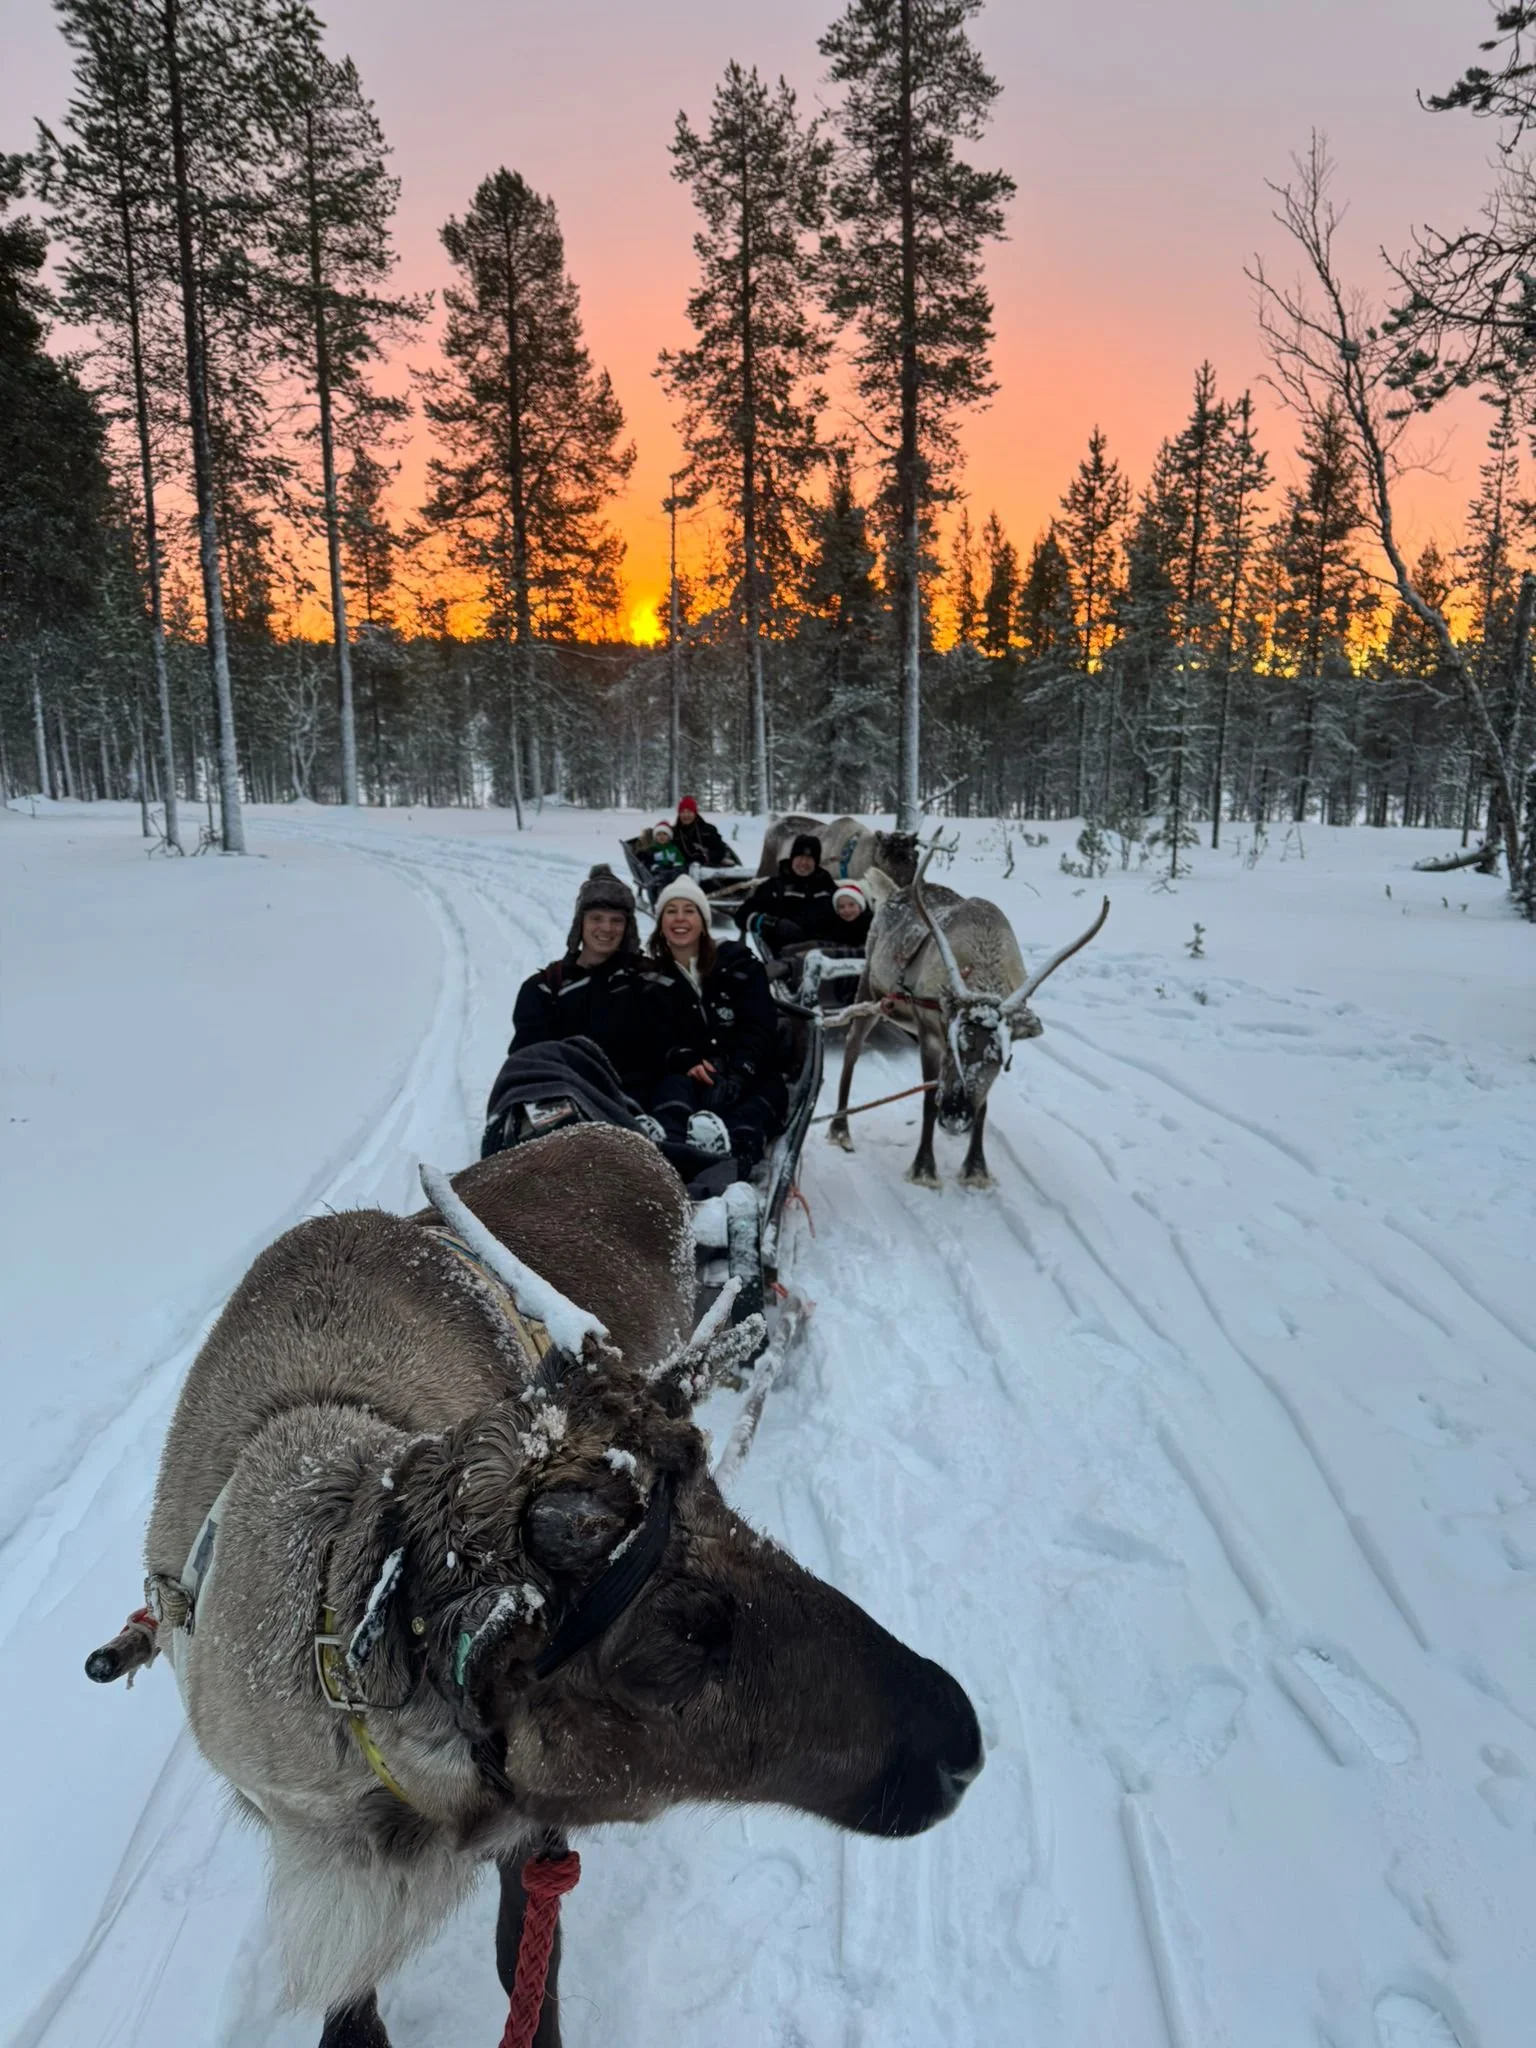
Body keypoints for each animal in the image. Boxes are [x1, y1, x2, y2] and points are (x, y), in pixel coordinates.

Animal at [88, 1124, 981, 2048]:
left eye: (720, 1503)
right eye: (676, 1645)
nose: (960, 1742)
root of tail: (632, 1135)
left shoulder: (528, 1834)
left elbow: (527, 1965)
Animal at [827, 850, 1110, 1188]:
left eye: (1000, 1059)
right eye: (954, 1047)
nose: (954, 1117)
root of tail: (893, 892)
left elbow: (983, 1105)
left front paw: (976, 1168)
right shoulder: (930, 1034)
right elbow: (928, 1099)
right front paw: (924, 1169)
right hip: (869, 986)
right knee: (852, 1048)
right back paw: (840, 1130)